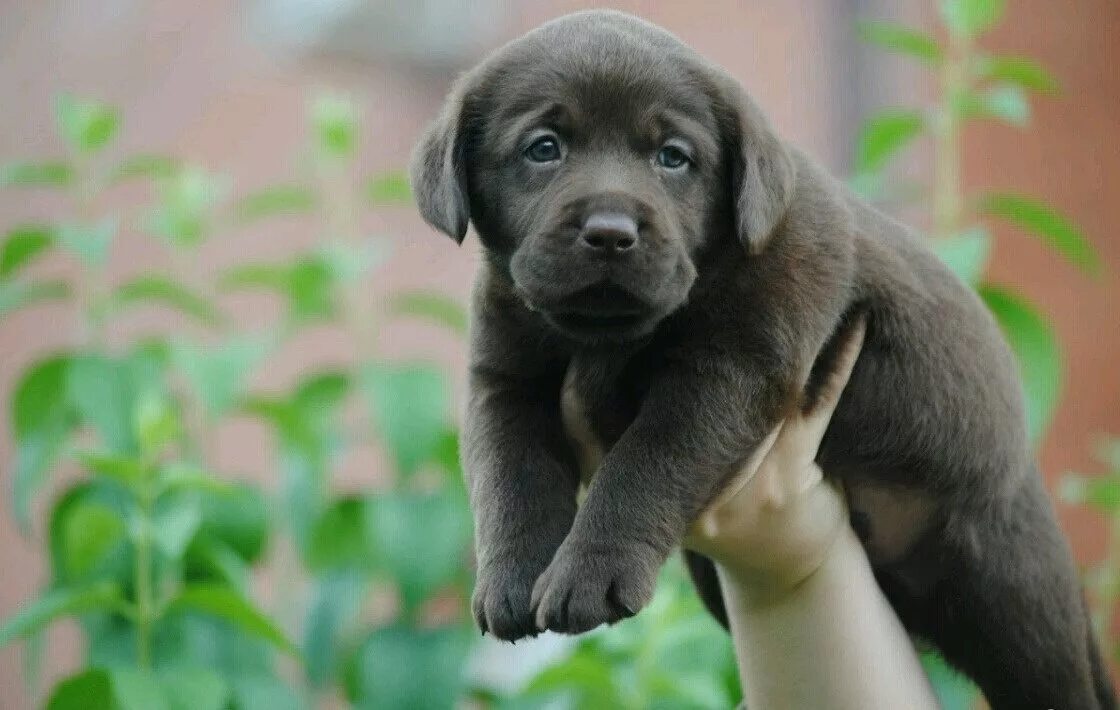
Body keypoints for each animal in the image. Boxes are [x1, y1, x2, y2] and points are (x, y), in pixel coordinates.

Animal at [414, 8, 1120, 703]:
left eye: (673, 158)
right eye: (543, 148)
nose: (611, 233)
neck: (611, 336)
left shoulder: (733, 368)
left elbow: (642, 466)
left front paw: (591, 572)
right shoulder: (504, 379)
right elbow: (510, 478)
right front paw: (510, 580)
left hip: (1016, 596)